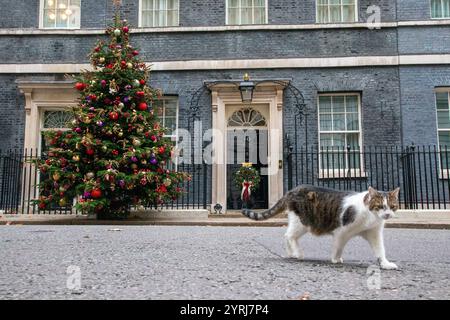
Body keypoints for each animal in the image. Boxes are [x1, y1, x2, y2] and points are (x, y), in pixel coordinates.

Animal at [244, 185, 400, 270]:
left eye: (392, 206)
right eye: (380, 206)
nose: (387, 214)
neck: (370, 216)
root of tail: (293, 190)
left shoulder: (374, 233)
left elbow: (380, 250)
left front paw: (385, 264)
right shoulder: (341, 232)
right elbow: (338, 247)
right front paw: (336, 259)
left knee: (287, 236)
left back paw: (291, 253)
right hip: (303, 222)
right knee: (289, 236)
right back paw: (297, 253)